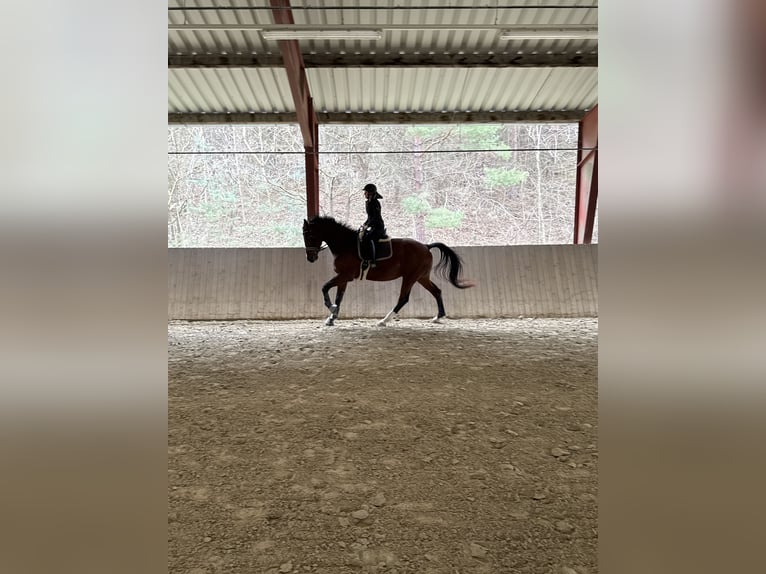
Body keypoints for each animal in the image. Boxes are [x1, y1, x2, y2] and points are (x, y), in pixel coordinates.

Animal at [302, 216, 475, 326]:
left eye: (309, 236)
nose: (310, 258)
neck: (346, 245)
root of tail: (426, 246)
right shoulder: (343, 277)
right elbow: (339, 297)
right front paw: (332, 317)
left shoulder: (345, 275)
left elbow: (325, 287)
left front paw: (331, 309)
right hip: (421, 277)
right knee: (436, 291)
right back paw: (438, 317)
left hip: (410, 277)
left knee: (403, 298)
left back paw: (384, 320)